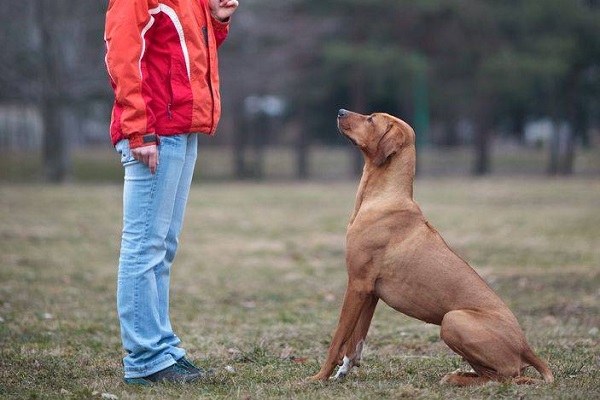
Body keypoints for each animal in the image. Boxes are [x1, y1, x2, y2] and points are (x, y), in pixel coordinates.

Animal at [310, 111, 552, 386]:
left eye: (371, 119)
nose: (340, 111)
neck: (384, 197)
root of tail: (526, 346)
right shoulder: (370, 292)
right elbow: (355, 341)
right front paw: (343, 370)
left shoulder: (357, 284)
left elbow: (337, 339)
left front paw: (319, 376)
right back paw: (460, 374)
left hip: (452, 320)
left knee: (504, 376)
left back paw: (455, 378)